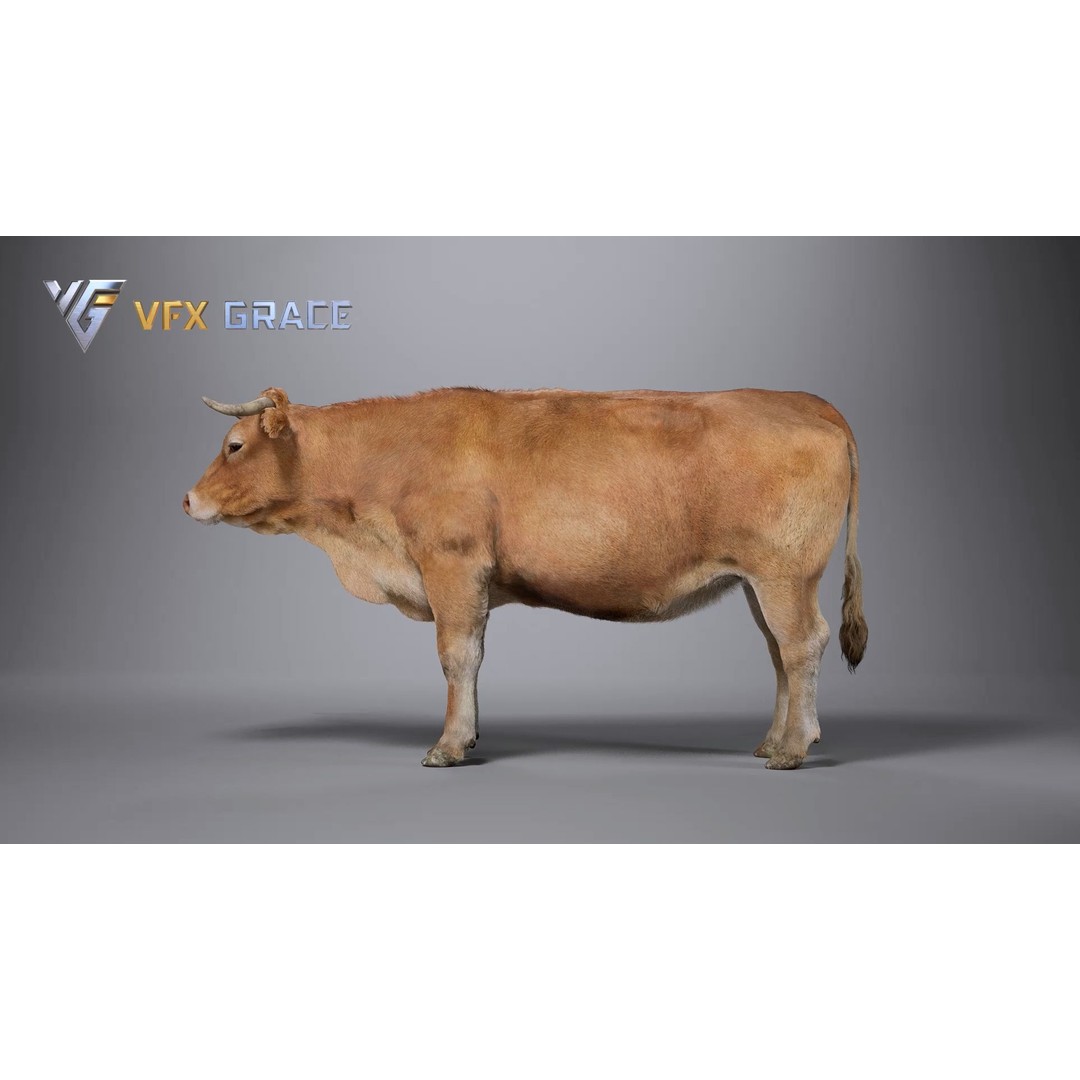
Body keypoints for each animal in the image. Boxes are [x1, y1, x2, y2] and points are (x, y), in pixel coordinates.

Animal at [184, 386, 867, 770]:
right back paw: (772, 740)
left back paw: (793, 749)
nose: (187, 500)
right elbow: (470, 656)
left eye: (234, 445)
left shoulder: (452, 564)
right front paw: (469, 736)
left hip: (785, 573)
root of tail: (809, 402)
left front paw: (449, 745)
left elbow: (457, 655)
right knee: (779, 652)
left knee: (802, 644)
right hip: (759, 581)